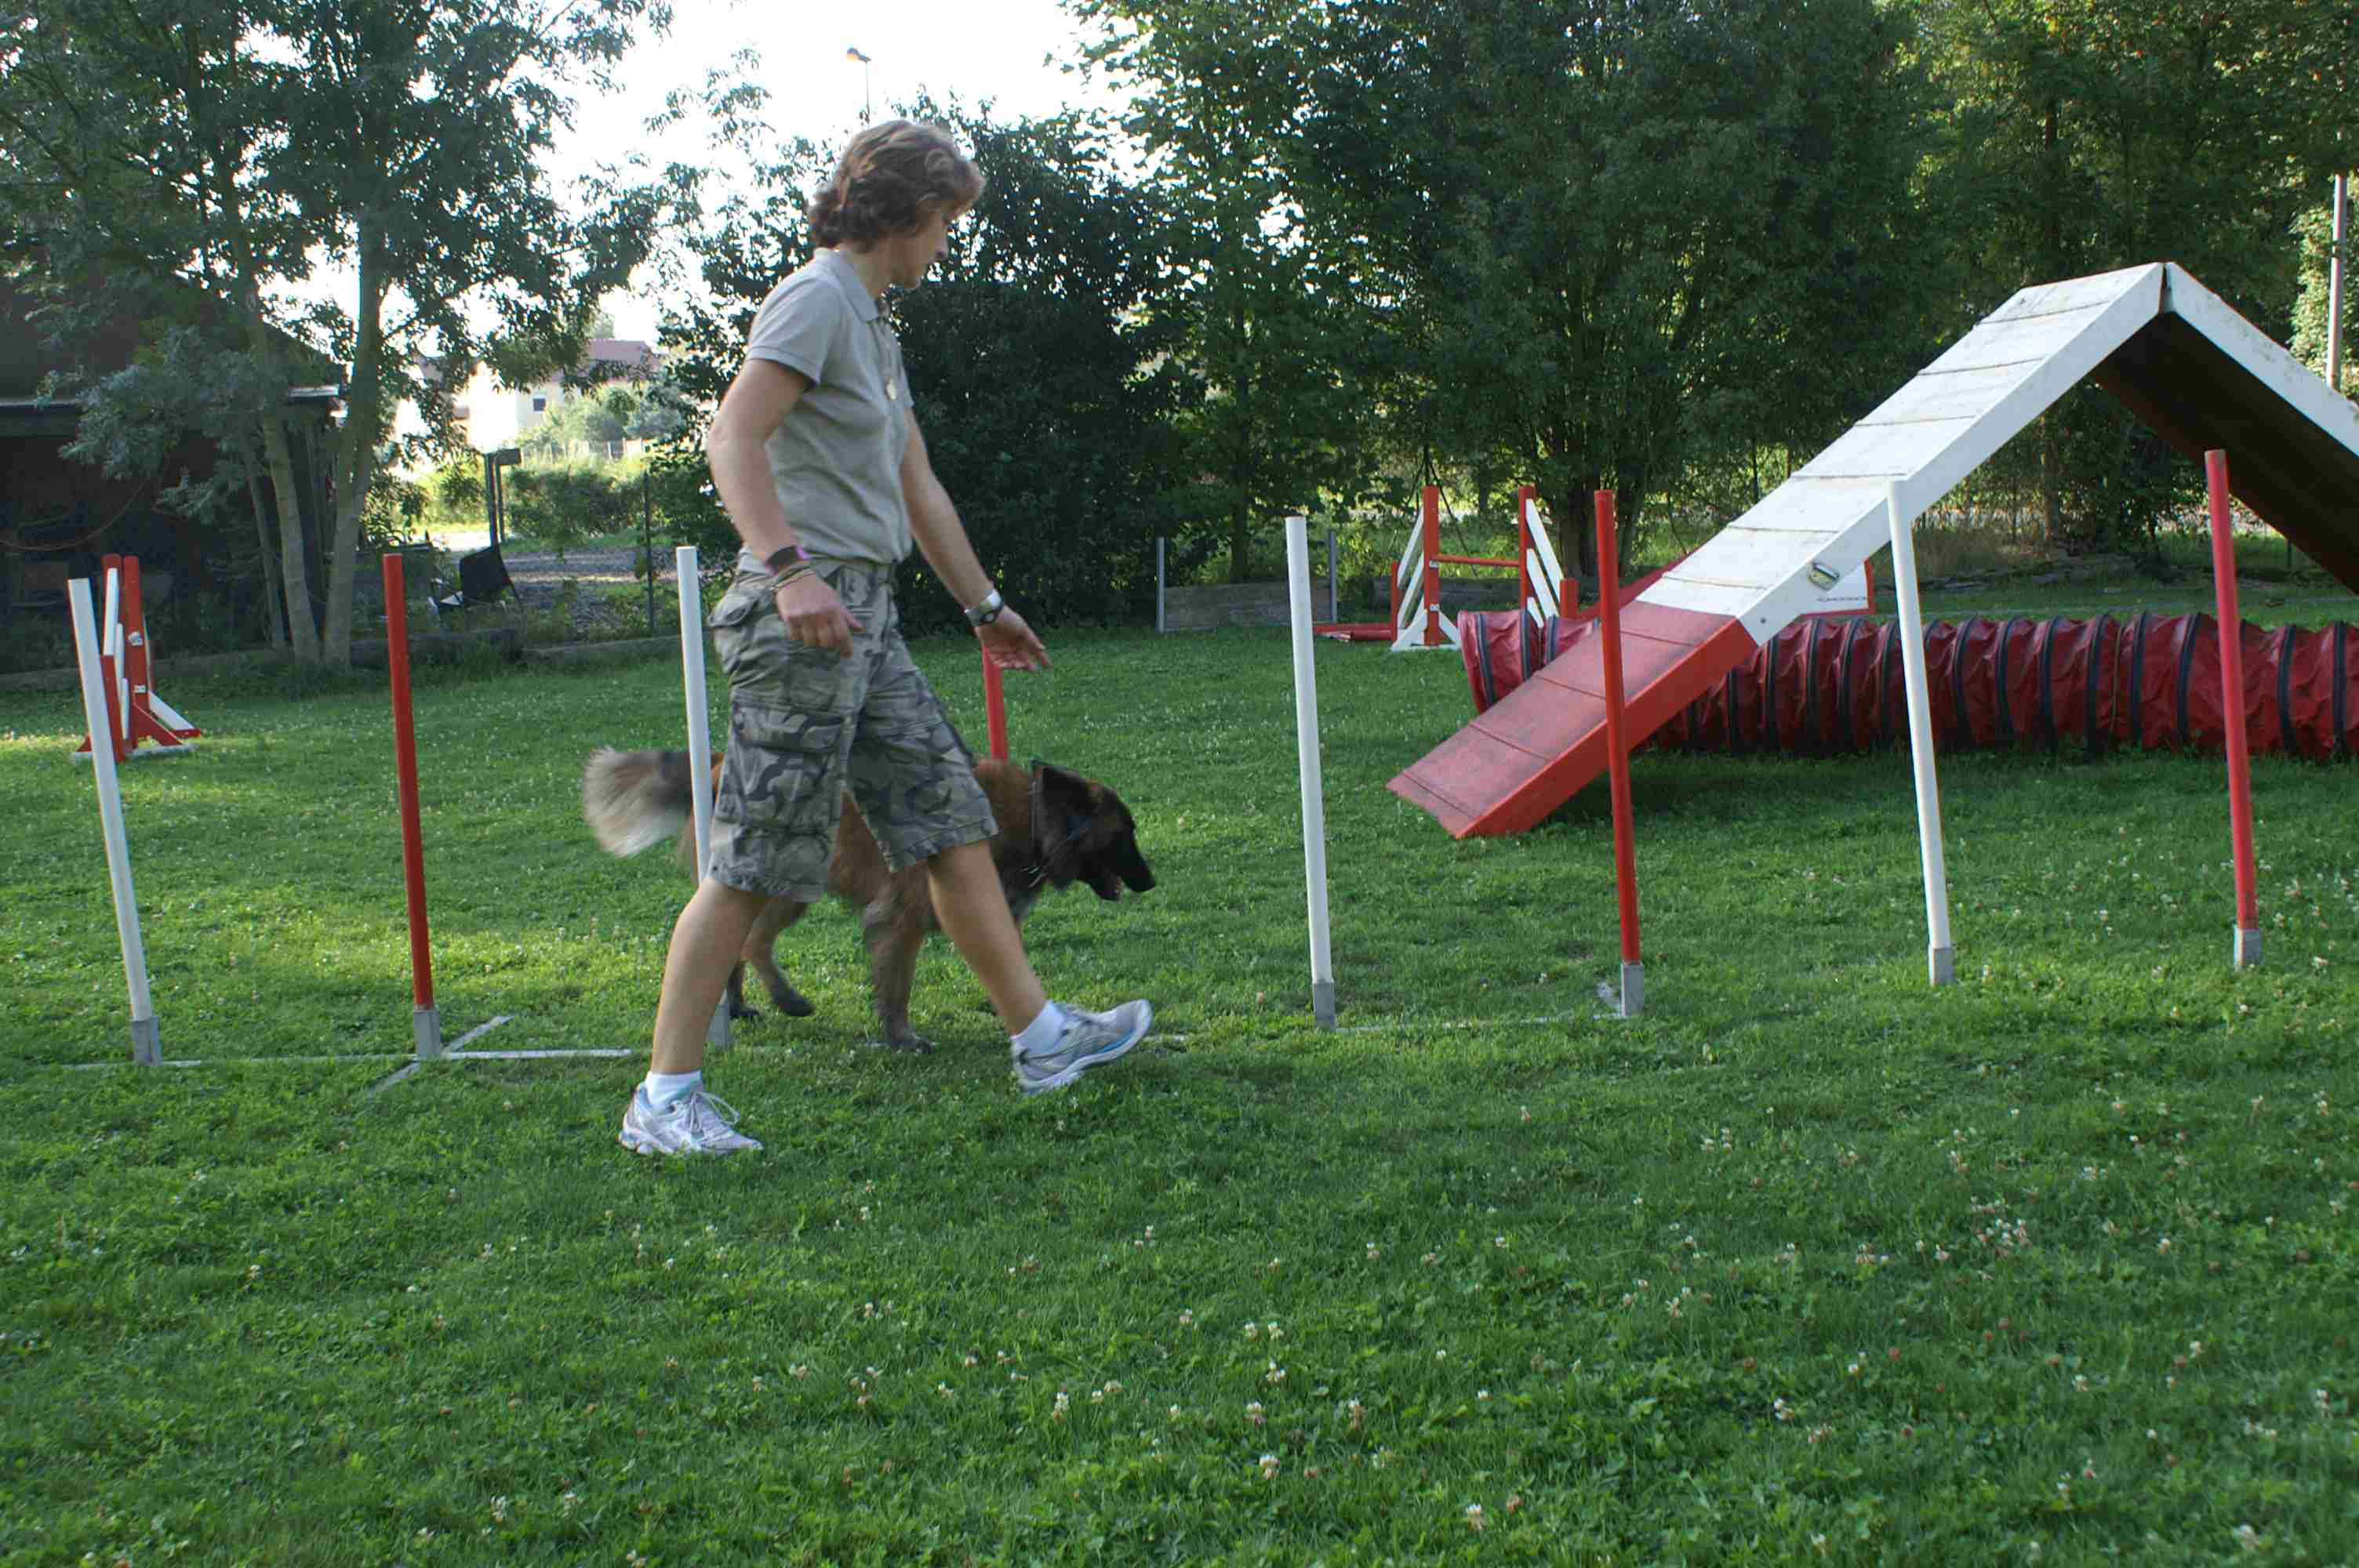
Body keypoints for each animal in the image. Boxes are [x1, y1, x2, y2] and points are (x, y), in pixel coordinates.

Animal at [581, 749, 1154, 1051]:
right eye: (1124, 833)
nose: (1150, 882)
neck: (1029, 821)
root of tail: (721, 762)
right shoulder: (900, 919)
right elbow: (896, 985)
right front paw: (901, 1037)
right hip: (786, 883)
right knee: (752, 942)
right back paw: (785, 999)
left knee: (740, 942)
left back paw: (743, 1003)